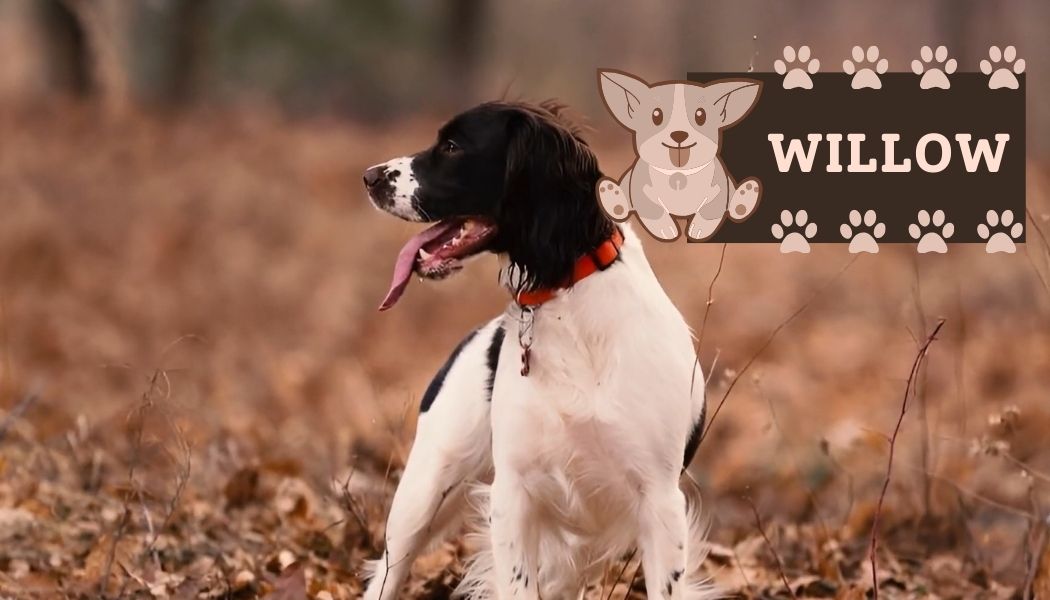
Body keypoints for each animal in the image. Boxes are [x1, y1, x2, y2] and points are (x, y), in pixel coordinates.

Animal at [361, 100, 713, 596]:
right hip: (424, 489)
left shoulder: (660, 502)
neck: (567, 299)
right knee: (388, 573)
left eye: (452, 147)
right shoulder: (514, 494)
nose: (369, 176)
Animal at [600, 68, 764, 241]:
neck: (679, 173)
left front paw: (699, 229)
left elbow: (711, 209)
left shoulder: (719, 188)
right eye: (656, 115)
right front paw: (666, 229)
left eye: (700, 116)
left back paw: (745, 196)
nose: (679, 135)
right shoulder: (640, 189)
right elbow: (653, 210)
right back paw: (612, 195)